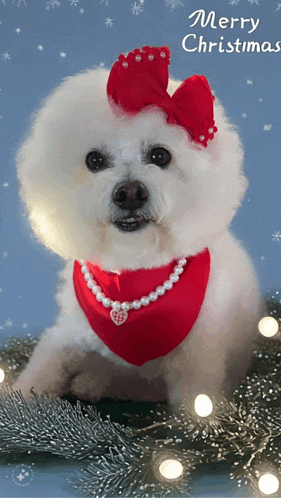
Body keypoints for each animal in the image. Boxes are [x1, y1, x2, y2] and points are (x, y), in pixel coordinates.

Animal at [12, 46, 262, 408]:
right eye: (94, 160)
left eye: (160, 155)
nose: (130, 193)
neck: (132, 273)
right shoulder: (72, 329)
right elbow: (46, 360)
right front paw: (19, 395)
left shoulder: (196, 358)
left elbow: (195, 400)